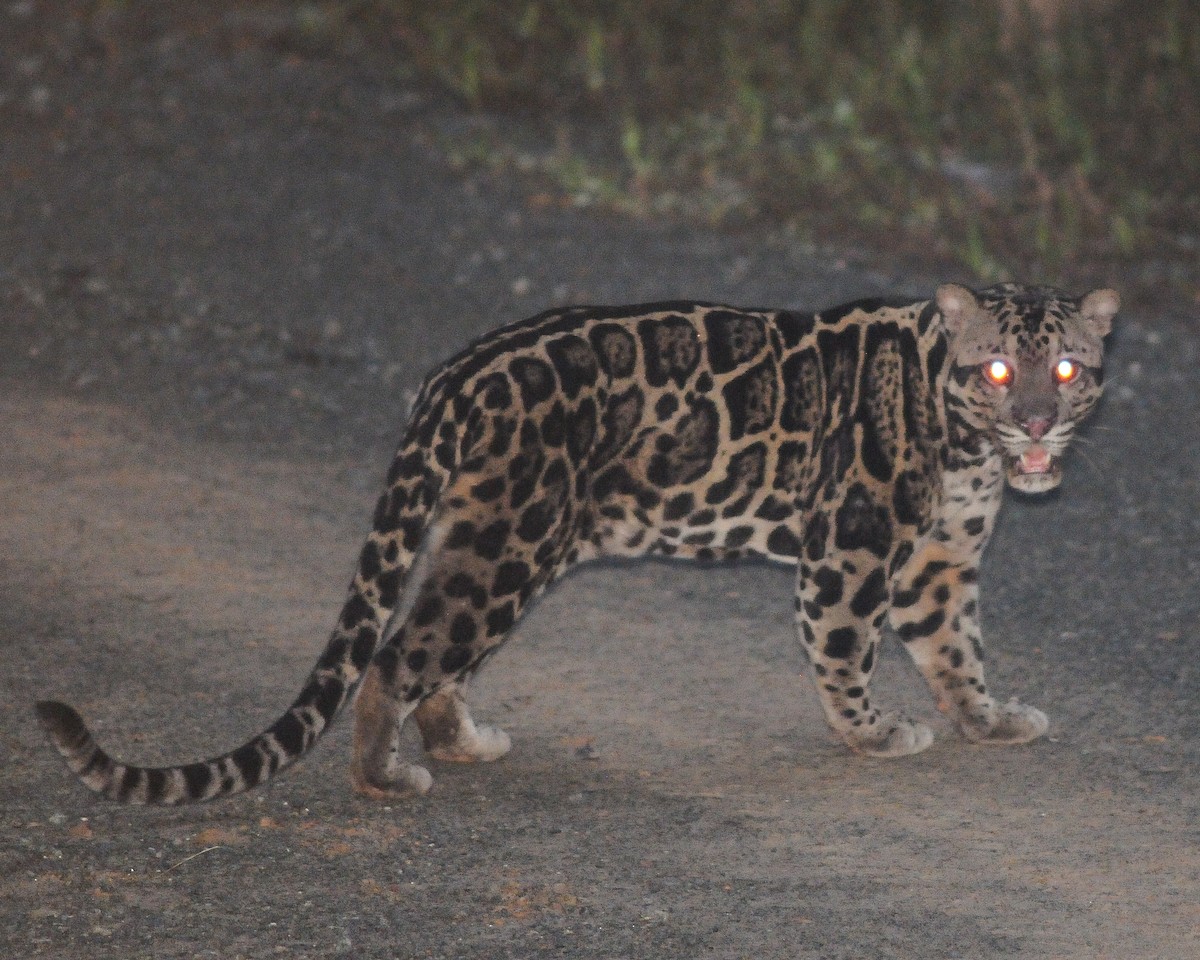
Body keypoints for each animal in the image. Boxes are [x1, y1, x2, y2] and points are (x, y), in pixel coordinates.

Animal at [36, 281, 1118, 804]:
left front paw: (987, 718)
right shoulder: (850, 549)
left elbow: (957, 650)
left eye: (1065, 370)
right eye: (996, 371)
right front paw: (874, 735)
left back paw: (459, 741)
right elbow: (847, 651)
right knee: (396, 654)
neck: (964, 437)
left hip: (498, 543)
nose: (1033, 422)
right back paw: (385, 778)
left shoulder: (938, 562)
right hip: (512, 545)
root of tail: (453, 378)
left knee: (435, 652)